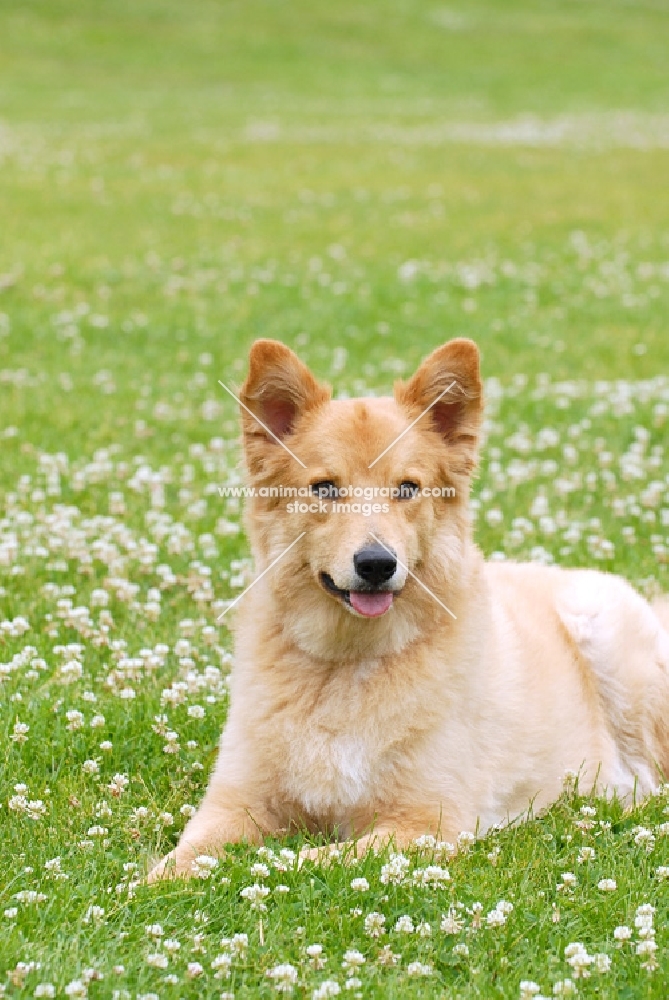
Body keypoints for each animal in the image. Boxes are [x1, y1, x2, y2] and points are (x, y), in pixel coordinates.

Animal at [150, 340, 668, 880]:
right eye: (325, 488)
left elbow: (299, 862)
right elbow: (178, 859)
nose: (377, 564)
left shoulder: (422, 824)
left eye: (407, 488)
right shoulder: (234, 803)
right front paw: (152, 881)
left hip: (607, 638)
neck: (349, 663)